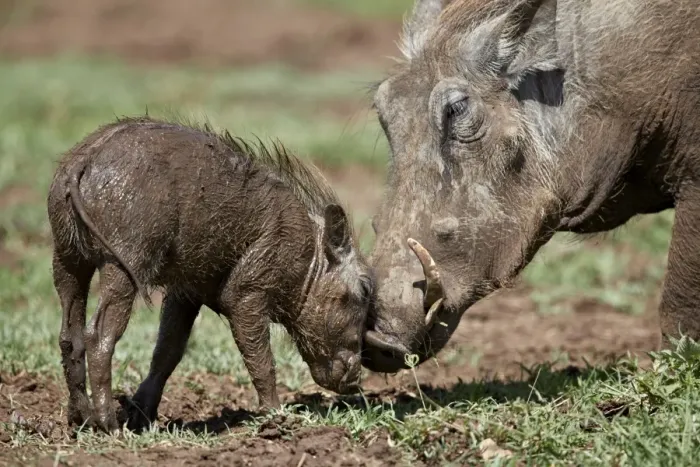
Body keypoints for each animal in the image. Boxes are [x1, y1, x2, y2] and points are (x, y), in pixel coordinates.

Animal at [47, 116, 378, 432]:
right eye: (364, 290)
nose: (355, 382)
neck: (310, 257)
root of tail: (82, 161)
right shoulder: (246, 293)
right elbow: (261, 359)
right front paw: (277, 416)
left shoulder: (185, 292)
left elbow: (168, 352)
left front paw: (142, 416)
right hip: (122, 264)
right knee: (98, 335)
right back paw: (108, 425)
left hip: (66, 258)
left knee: (69, 335)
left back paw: (80, 419)